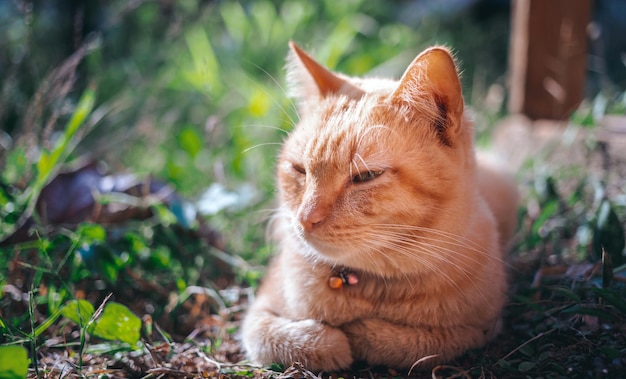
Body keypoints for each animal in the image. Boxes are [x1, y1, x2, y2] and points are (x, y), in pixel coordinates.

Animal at [239, 43, 516, 372]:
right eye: (300, 170)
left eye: (365, 176)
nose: (305, 219)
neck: (368, 285)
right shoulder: (258, 313)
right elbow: (292, 339)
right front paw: (330, 341)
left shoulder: (480, 329)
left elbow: (407, 343)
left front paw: (359, 334)